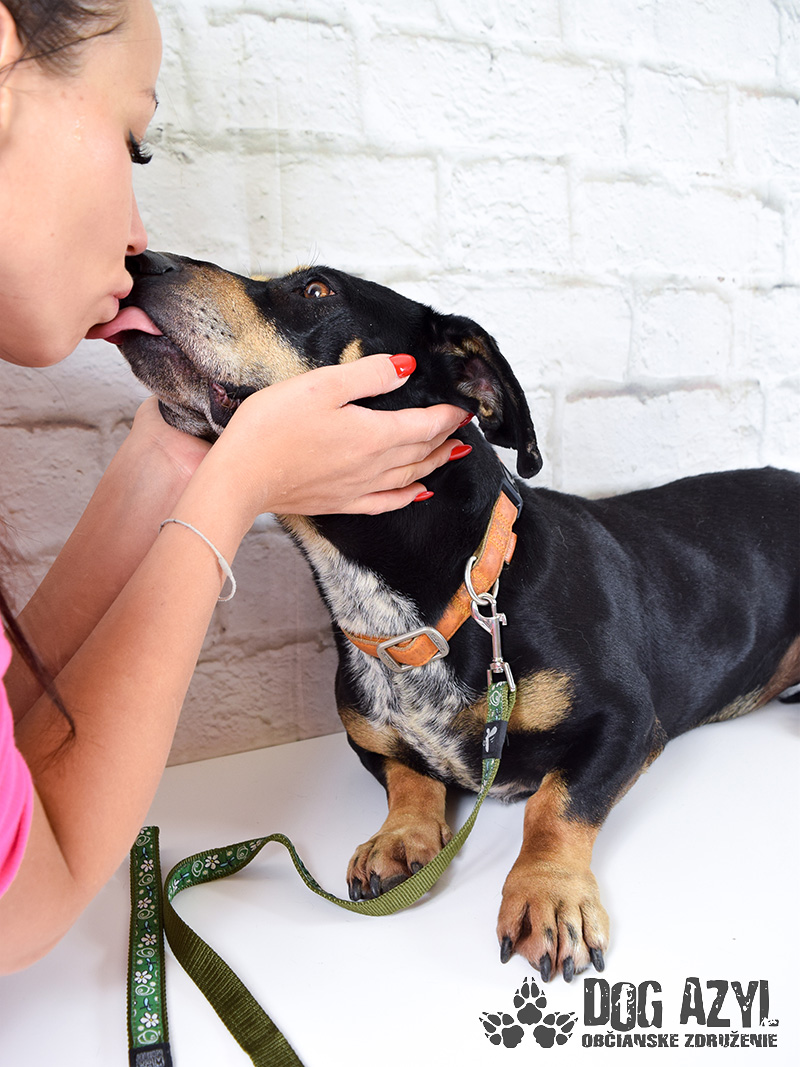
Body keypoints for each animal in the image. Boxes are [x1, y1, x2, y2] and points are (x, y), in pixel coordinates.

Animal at [112, 250, 800, 983]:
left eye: (317, 290)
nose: (140, 261)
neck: (424, 609)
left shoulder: (627, 719)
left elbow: (556, 805)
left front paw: (549, 893)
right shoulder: (365, 735)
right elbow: (409, 775)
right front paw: (400, 836)